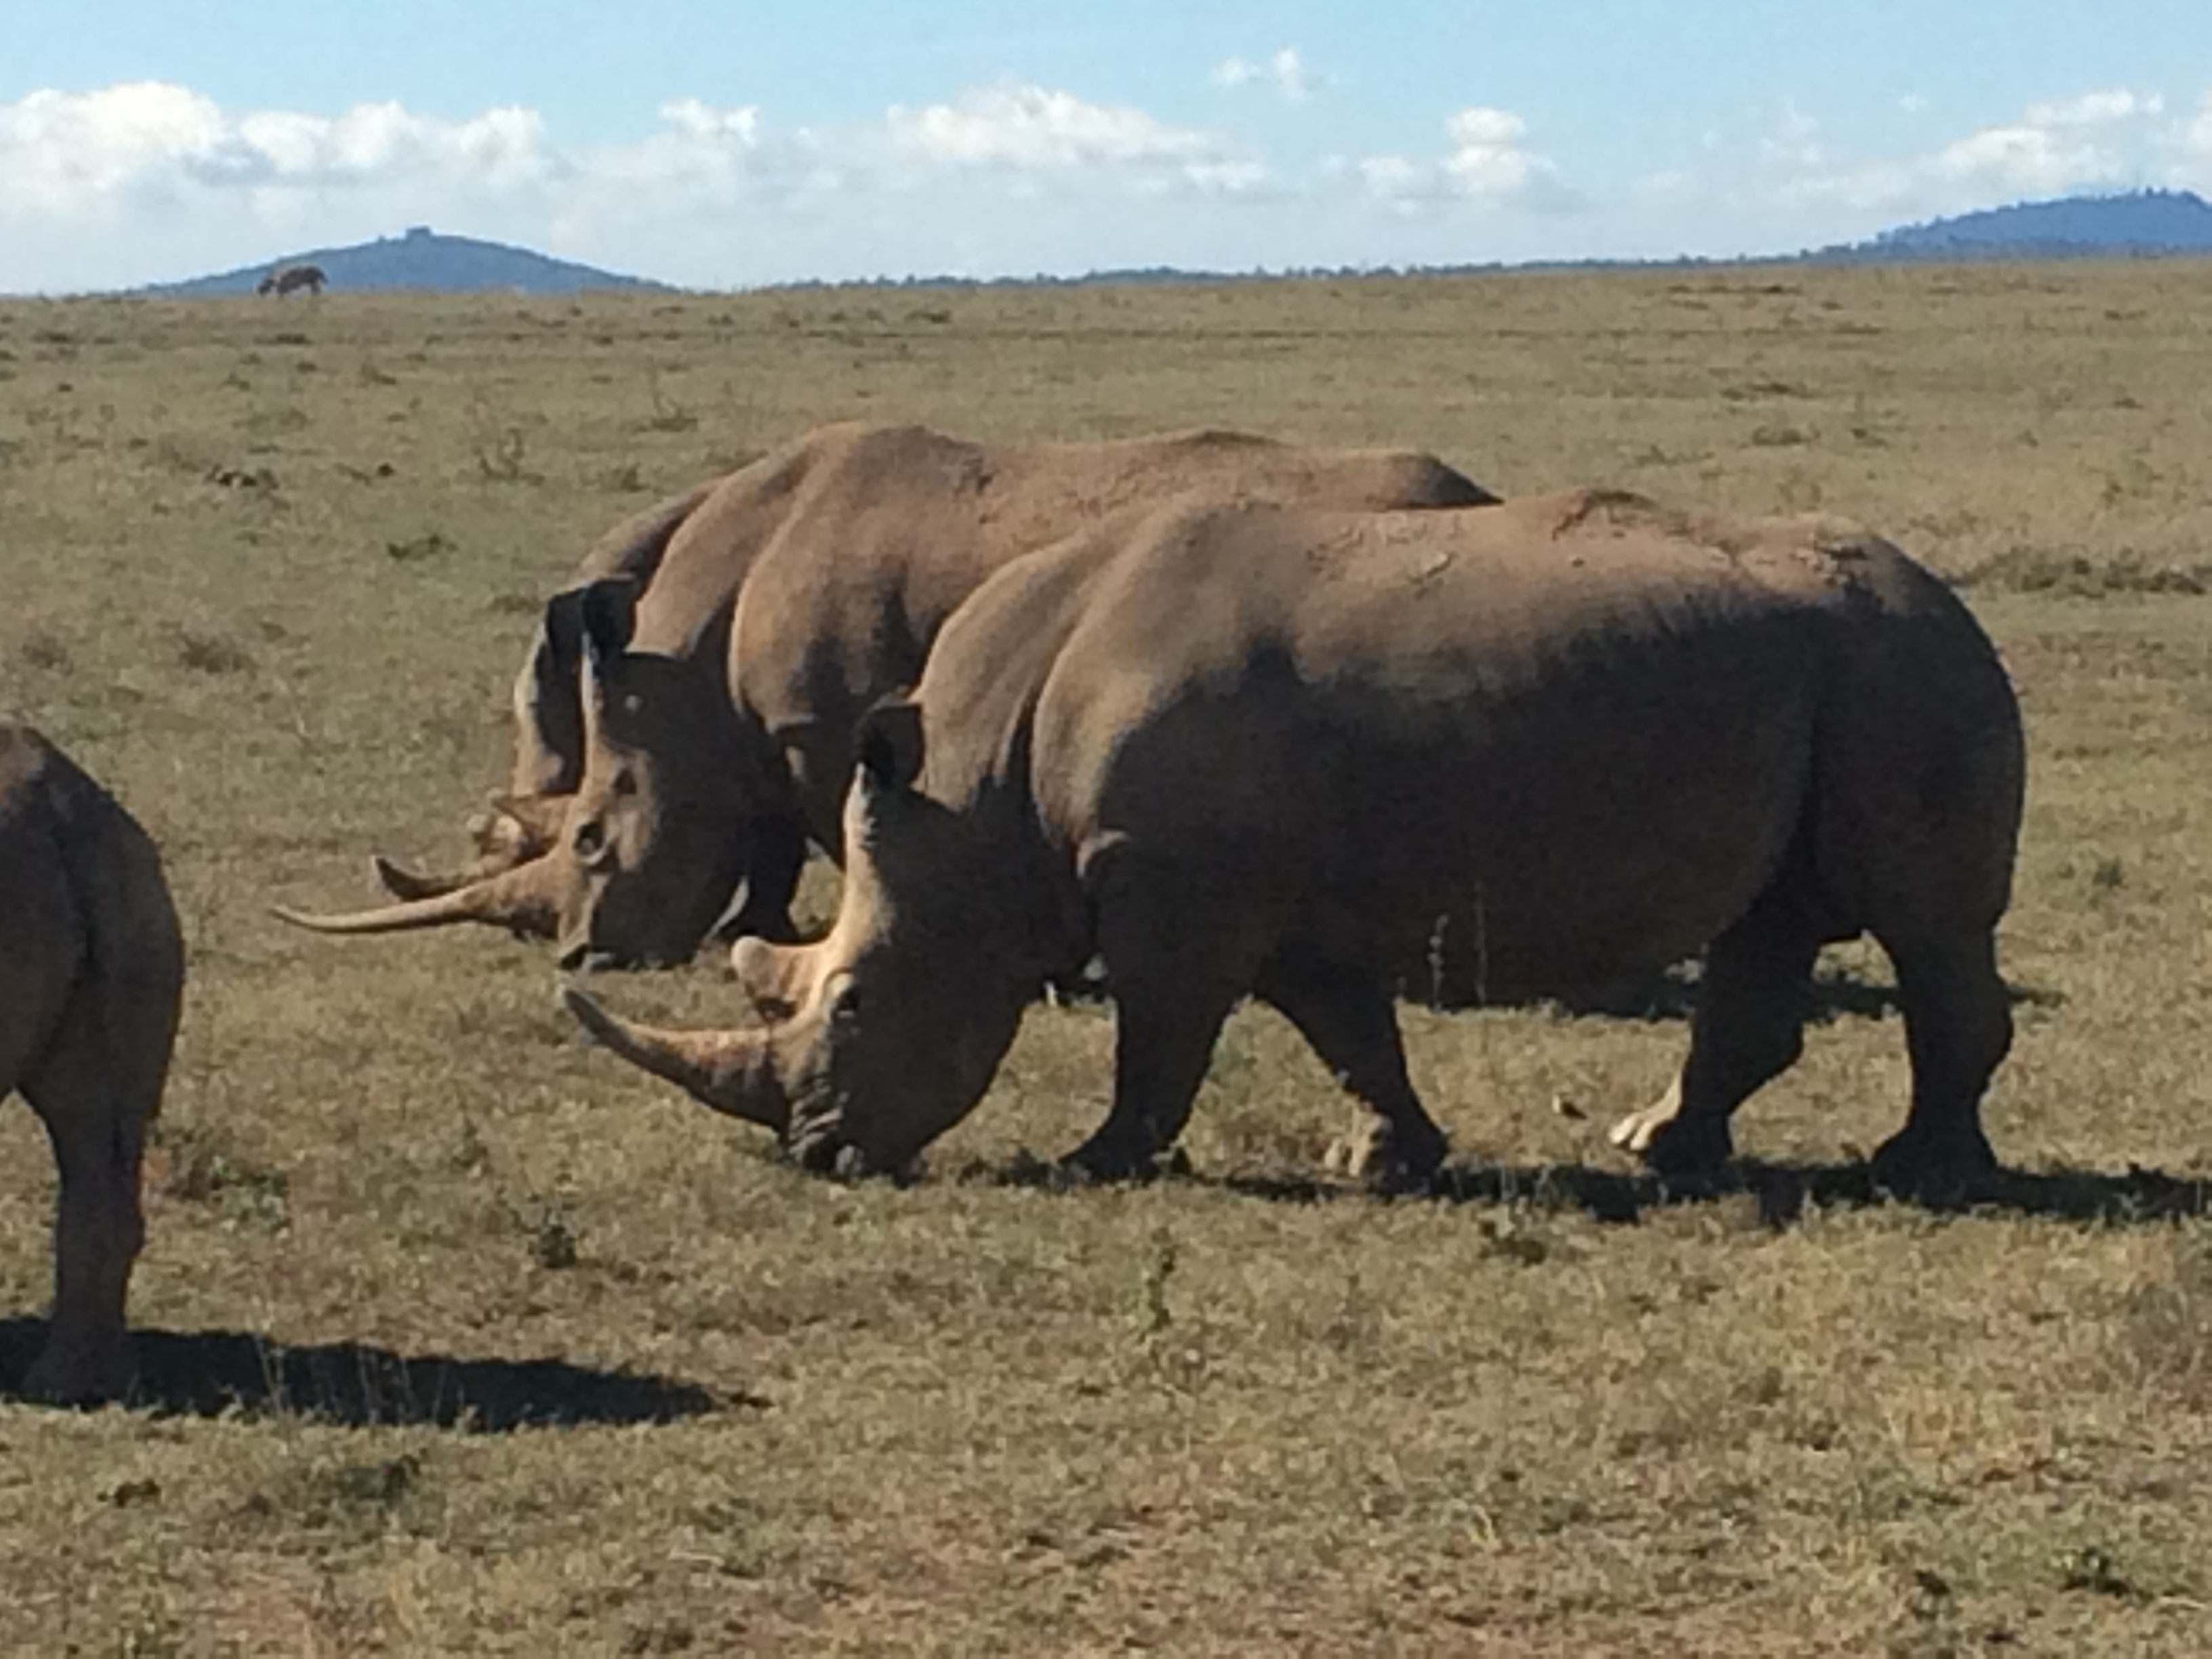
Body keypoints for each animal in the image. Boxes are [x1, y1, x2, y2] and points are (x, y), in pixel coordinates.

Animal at [276, 422, 1494, 967]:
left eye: (582, 838)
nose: (578, 955)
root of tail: (1479, 496)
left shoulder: (817, 725)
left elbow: (828, 827)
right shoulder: (758, 731)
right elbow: (769, 834)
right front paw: (754, 933)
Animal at [563, 489, 2026, 1198]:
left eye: (856, 1002)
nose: (819, 1152)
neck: (976, 799)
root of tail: (1947, 595)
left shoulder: (1171, 893)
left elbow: (1159, 1039)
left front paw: (1094, 1163)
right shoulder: (1279, 904)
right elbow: (1348, 1035)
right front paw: (1382, 1163)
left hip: (1902, 669)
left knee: (1924, 922)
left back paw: (1920, 1168)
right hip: (1836, 670)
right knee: (1769, 921)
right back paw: (1655, 1146)